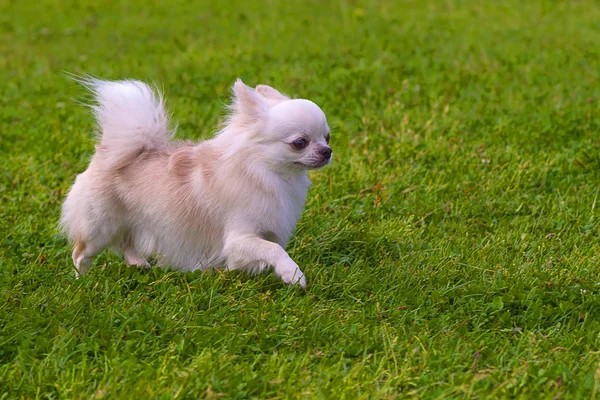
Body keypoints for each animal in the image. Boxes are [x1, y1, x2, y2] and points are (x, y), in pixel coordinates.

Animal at [59, 76, 332, 288]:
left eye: (328, 137)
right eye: (300, 143)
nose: (327, 151)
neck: (268, 172)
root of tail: (105, 153)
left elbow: (271, 248)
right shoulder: (238, 239)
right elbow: (274, 250)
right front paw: (293, 275)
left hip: (130, 220)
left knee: (126, 241)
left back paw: (138, 263)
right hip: (101, 227)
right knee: (81, 253)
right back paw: (82, 281)